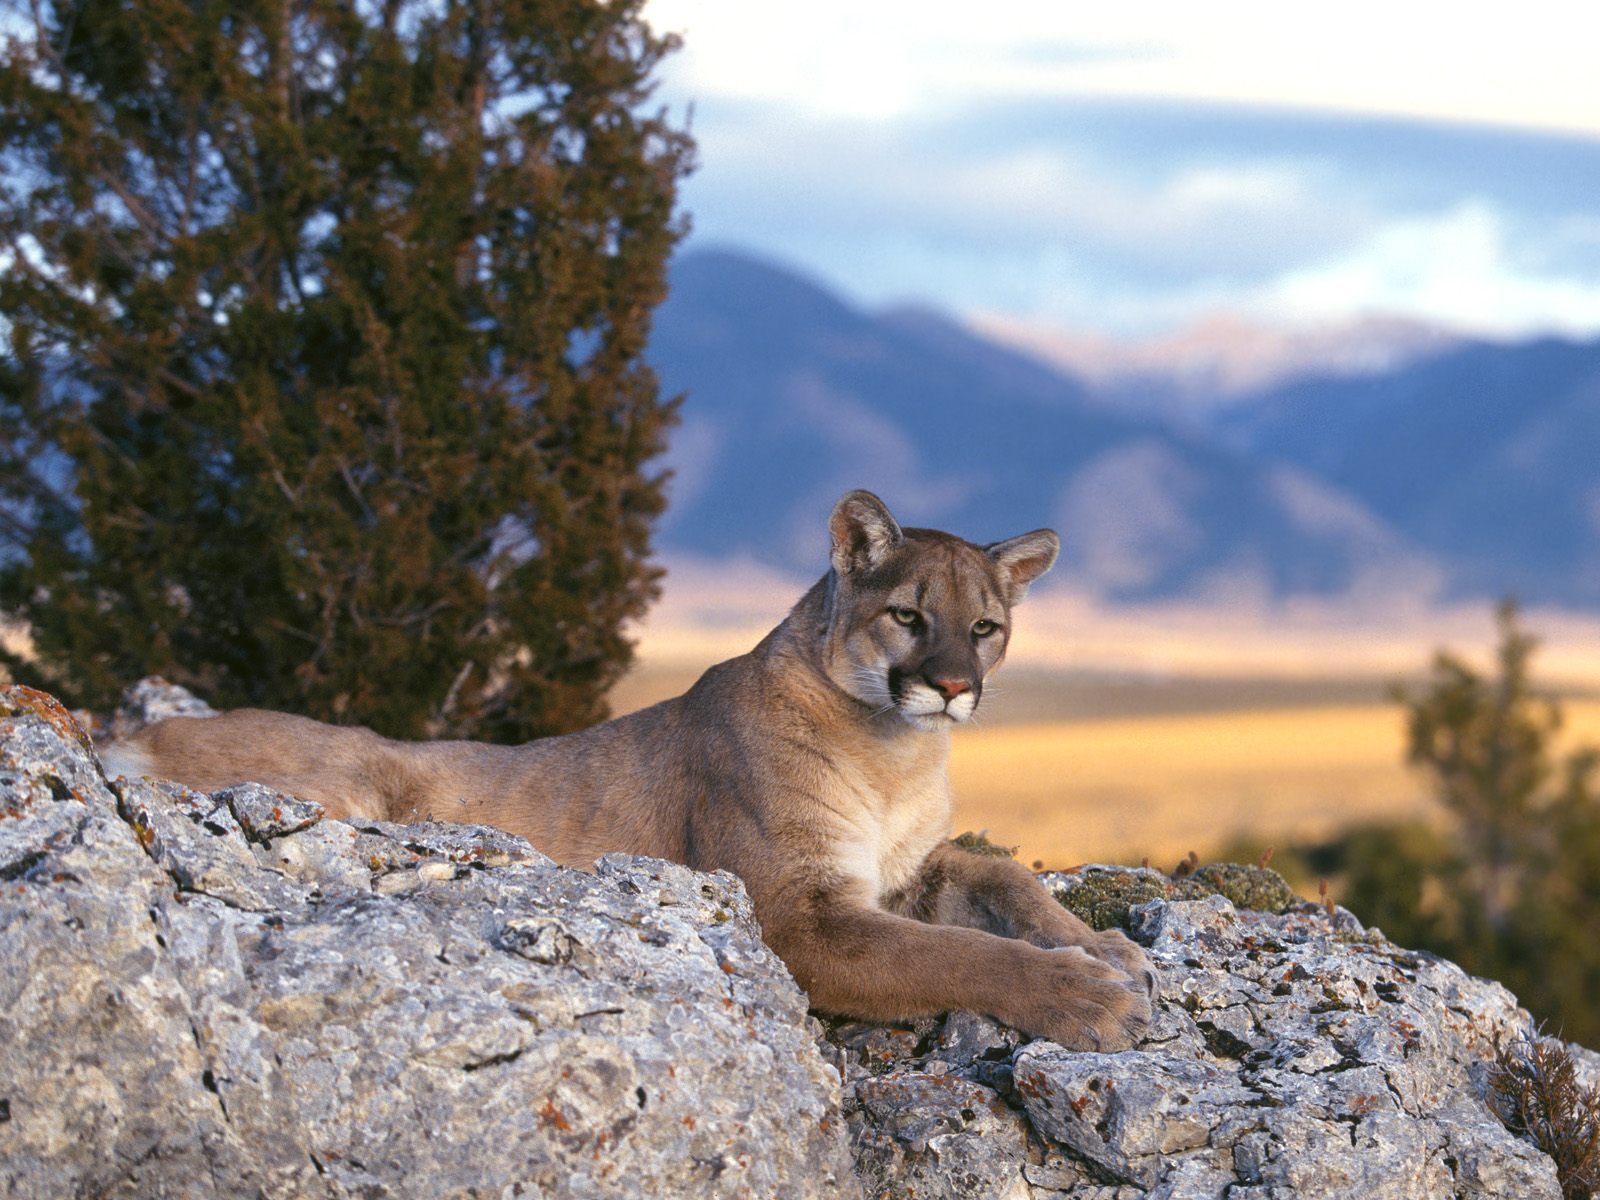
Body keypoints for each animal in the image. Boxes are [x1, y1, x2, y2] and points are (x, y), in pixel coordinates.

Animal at [106, 492, 1158, 1049]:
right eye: (908, 614)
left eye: (984, 628)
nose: (951, 686)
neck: (898, 751)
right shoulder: (799, 913)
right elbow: (957, 954)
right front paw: (1088, 997)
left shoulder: (900, 871)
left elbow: (1001, 873)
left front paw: (1105, 948)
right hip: (358, 780)